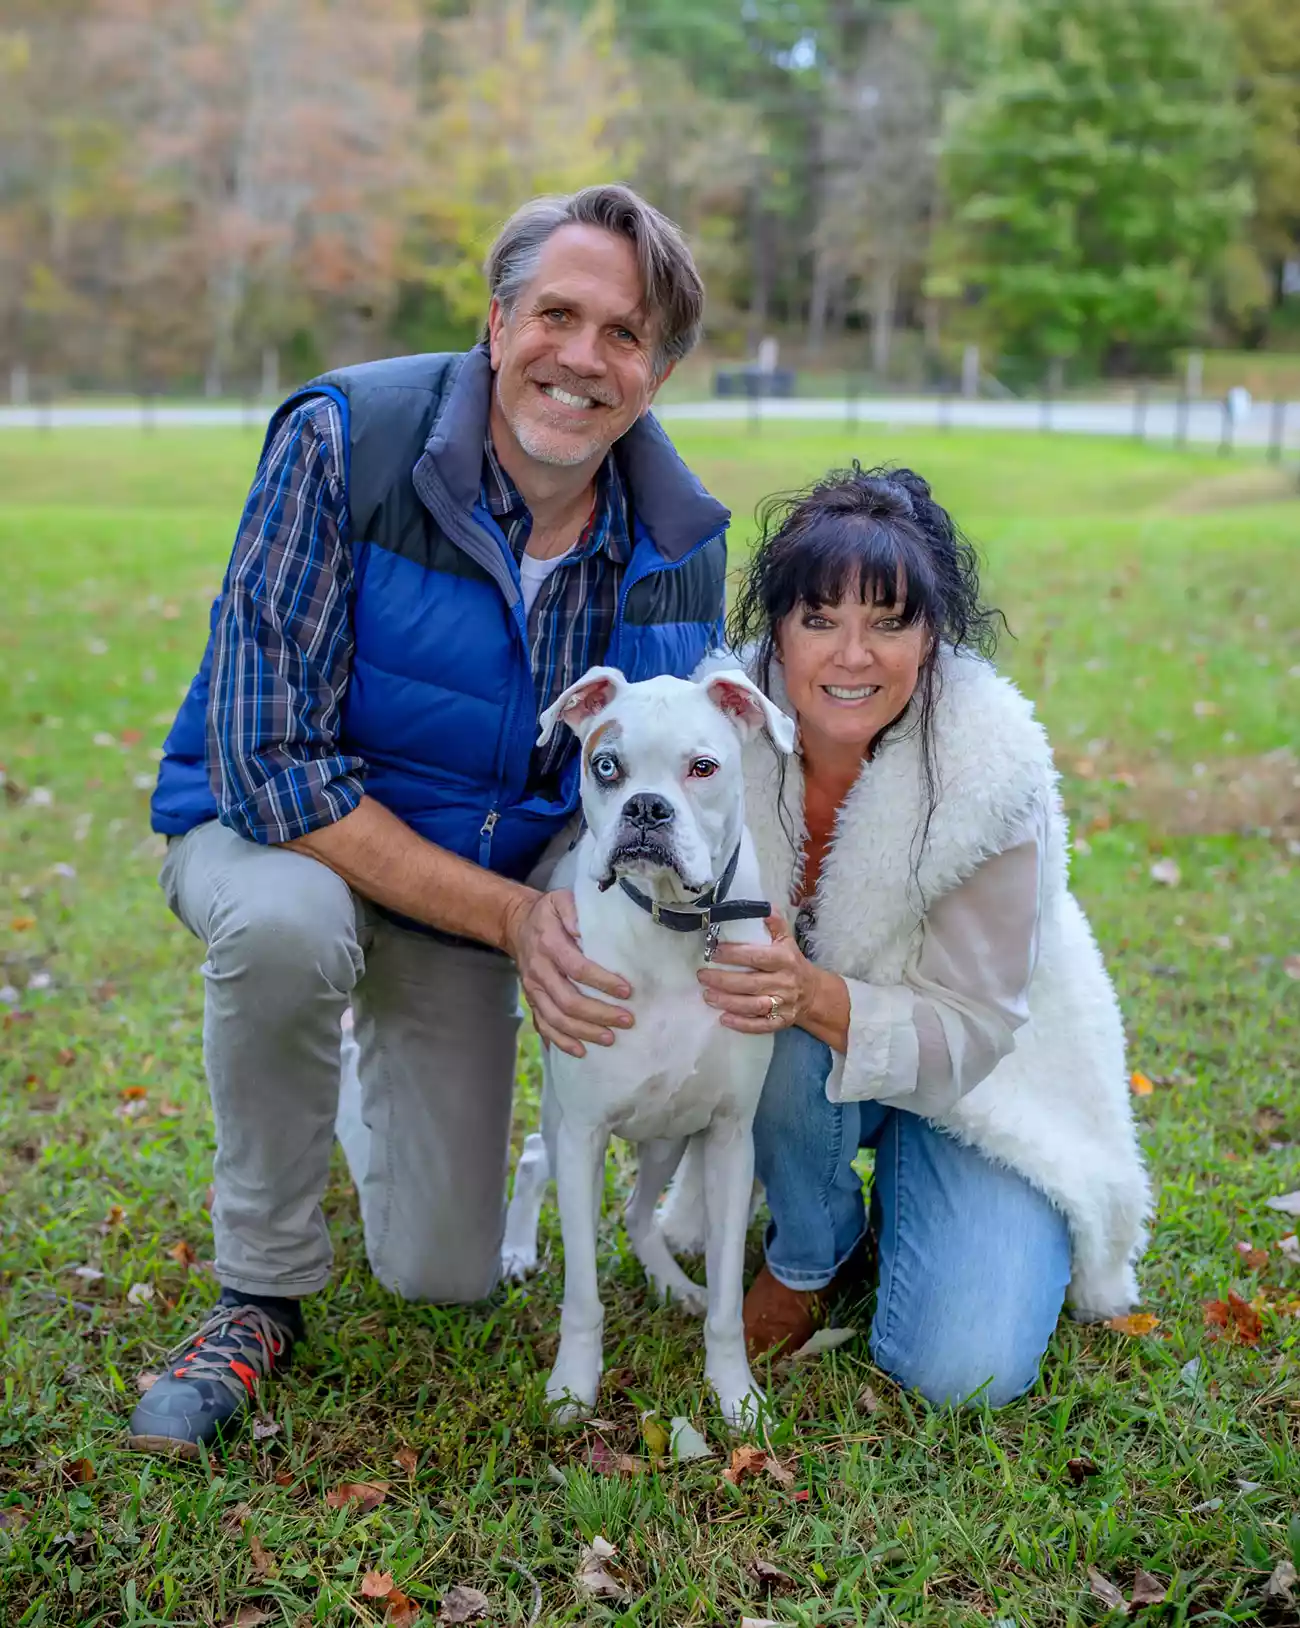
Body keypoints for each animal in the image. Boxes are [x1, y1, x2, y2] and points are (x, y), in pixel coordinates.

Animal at [504, 660, 793, 1426]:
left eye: (703, 767)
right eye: (606, 766)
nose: (647, 810)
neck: (673, 925)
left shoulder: (729, 1137)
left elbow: (726, 1303)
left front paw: (735, 1396)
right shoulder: (584, 1133)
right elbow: (582, 1298)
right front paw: (572, 1389)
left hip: (668, 1133)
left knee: (639, 1215)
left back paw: (670, 1284)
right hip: (571, 1118)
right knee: (536, 1154)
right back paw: (514, 1251)